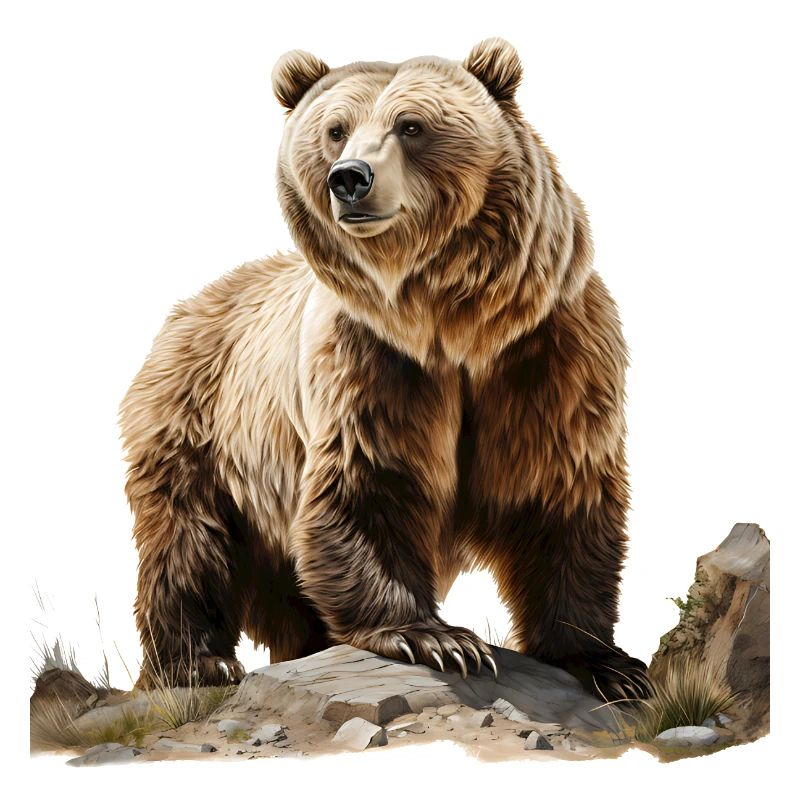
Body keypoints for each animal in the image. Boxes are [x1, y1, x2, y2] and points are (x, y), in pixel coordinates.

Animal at [120, 38, 649, 701]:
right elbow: (370, 480)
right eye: (335, 129)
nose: (349, 178)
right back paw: (197, 663)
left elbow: (560, 492)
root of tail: (186, 309)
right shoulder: (370, 362)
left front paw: (607, 662)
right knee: (188, 543)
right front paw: (436, 638)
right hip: (200, 428)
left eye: (412, 124)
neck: (452, 324)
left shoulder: (548, 352)